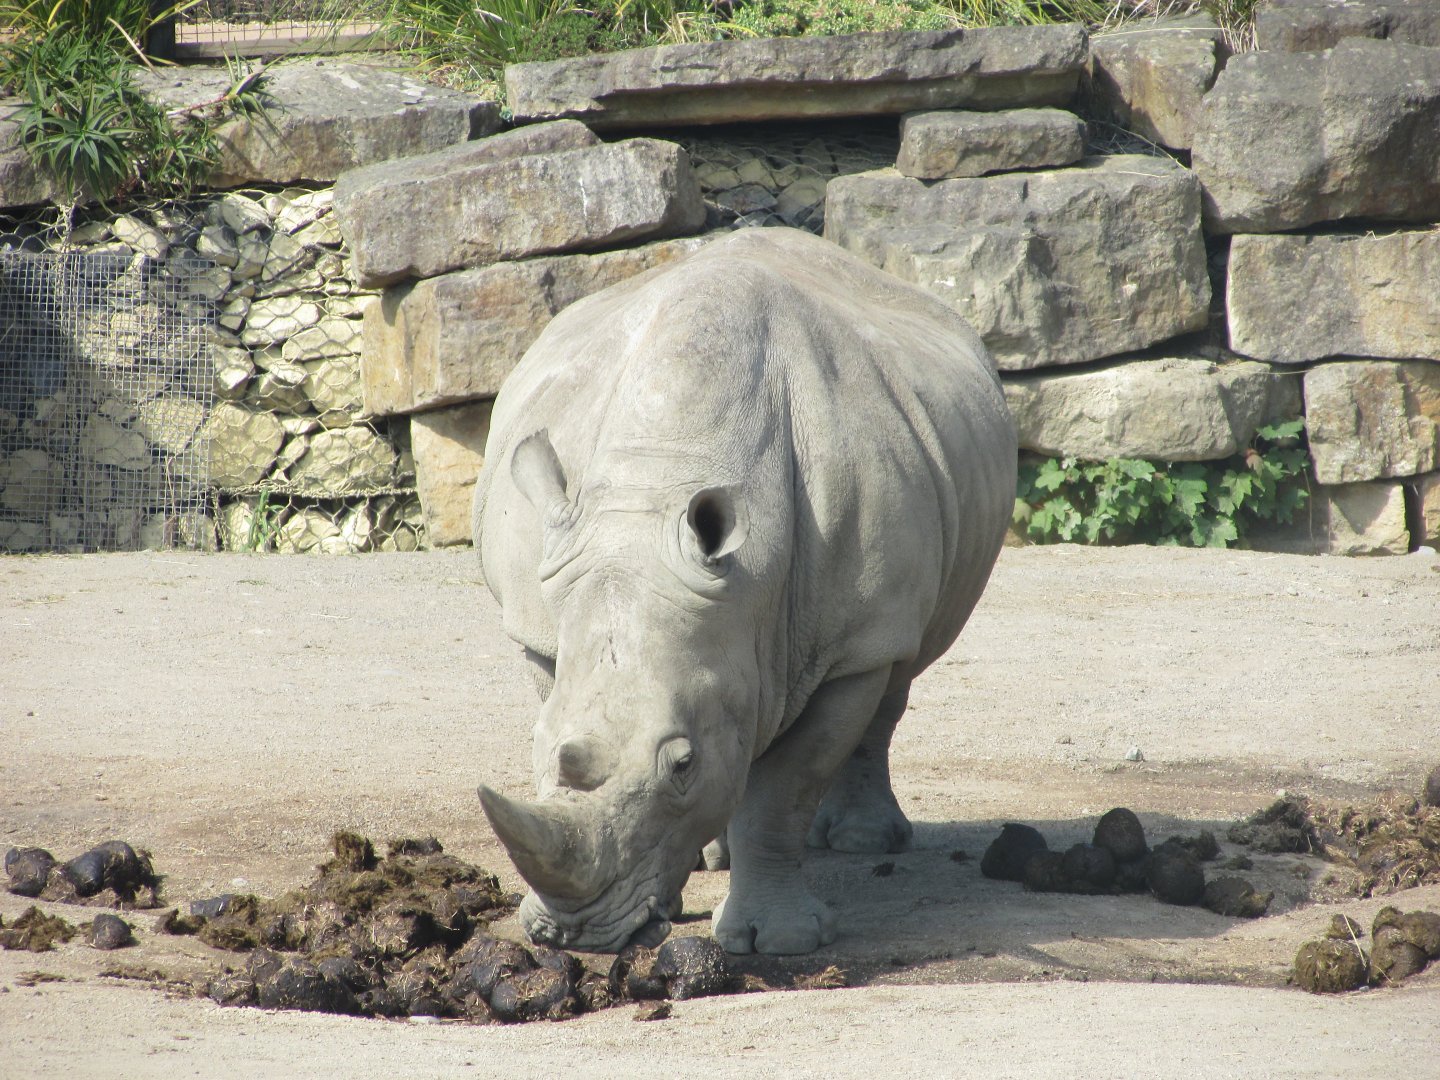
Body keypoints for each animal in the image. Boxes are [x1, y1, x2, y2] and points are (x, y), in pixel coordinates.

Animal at [473, 227, 1016, 955]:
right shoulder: (543, 629)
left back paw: (863, 842)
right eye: (536, 744)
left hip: (899, 593)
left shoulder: (855, 642)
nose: (575, 932)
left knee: (896, 676)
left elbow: (786, 787)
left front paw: (779, 941)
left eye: (683, 764)